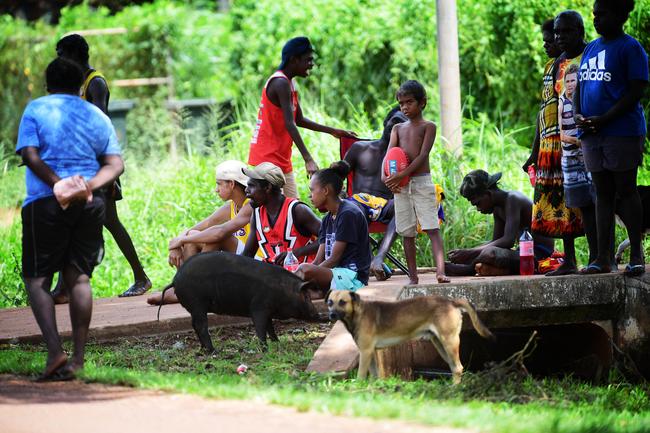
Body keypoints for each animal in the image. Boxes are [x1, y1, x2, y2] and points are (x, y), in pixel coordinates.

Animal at [159, 250, 324, 352]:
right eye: (307, 297)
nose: (319, 315)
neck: (283, 290)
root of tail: (175, 280)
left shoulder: (268, 311)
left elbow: (270, 327)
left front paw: (277, 342)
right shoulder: (258, 307)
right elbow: (261, 328)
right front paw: (264, 349)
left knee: (194, 324)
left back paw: (204, 349)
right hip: (197, 304)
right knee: (200, 325)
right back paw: (213, 350)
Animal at [324, 290, 492, 382]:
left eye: (342, 302)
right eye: (330, 302)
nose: (331, 315)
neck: (358, 313)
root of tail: (451, 301)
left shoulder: (365, 352)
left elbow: (360, 376)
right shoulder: (370, 353)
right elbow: (375, 376)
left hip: (449, 342)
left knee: (458, 367)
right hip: (440, 344)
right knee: (454, 367)